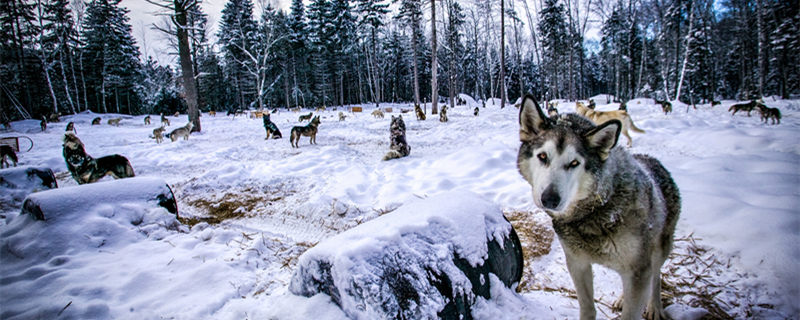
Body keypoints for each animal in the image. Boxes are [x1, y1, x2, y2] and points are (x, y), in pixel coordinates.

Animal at [516, 95, 680, 320]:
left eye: (574, 163)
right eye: (542, 157)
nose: (549, 199)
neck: (598, 209)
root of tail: (652, 159)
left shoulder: (639, 270)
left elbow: (632, 312)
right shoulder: (578, 264)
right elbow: (587, 307)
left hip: (658, 251)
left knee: (656, 276)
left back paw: (655, 307)